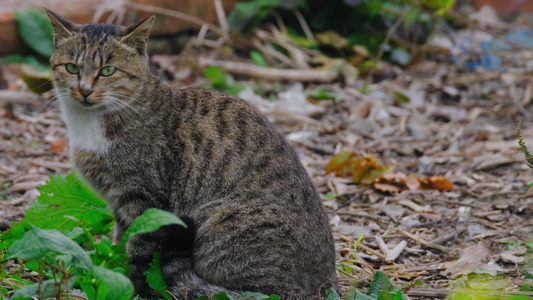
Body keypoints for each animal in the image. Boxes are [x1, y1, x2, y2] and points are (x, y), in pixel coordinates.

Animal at [44, 8, 336, 298]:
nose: (84, 90)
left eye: (107, 71)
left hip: (219, 221)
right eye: (71, 68)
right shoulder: (119, 203)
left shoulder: (145, 197)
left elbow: (140, 250)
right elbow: (119, 241)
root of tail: (323, 286)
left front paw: (134, 288)